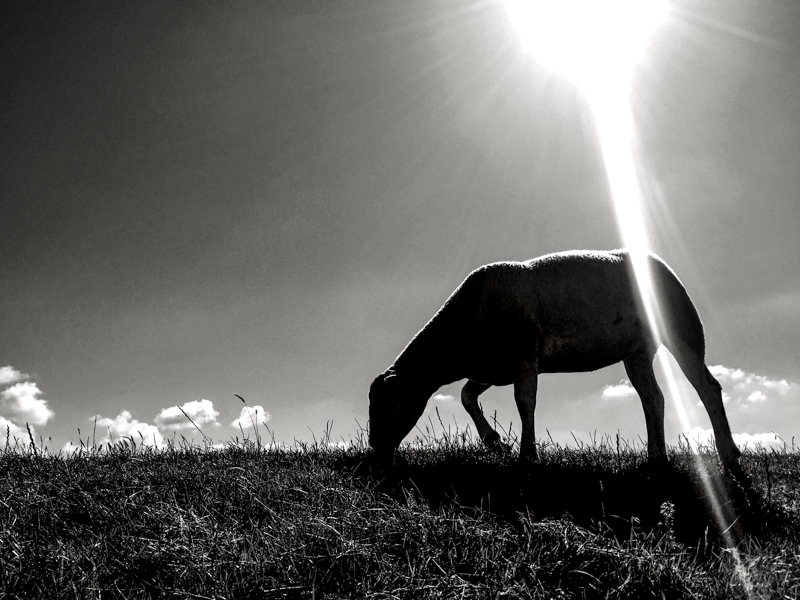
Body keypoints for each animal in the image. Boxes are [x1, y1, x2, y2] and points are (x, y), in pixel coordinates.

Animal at [366, 248, 740, 468]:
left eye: (383, 403)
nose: (374, 447)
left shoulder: (523, 358)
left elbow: (524, 402)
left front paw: (526, 455)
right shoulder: (493, 368)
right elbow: (467, 395)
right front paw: (494, 443)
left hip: (683, 329)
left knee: (708, 388)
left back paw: (729, 453)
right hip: (636, 352)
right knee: (654, 398)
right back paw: (656, 457)